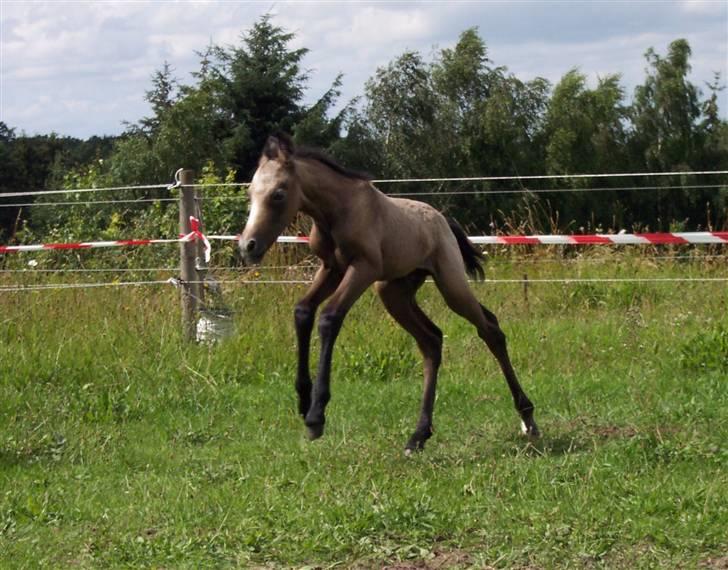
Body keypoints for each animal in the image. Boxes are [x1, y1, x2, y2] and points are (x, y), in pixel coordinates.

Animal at [239, 133, 540, 448]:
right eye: (250, 194)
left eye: (278, 194)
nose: (248, 246)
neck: (338, 210)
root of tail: (443, 220)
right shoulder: (331, 268)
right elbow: (303, 311)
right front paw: (303, 401)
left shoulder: (363, 268)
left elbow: (329, 317)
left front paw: (316, 417)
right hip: (394, 293)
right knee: (431, 341)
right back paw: (419, 435)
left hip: (451, 285)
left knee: (490, 329)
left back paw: (528, 418)